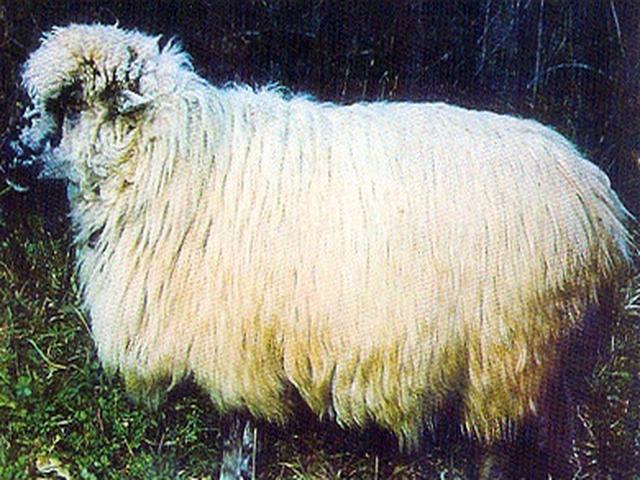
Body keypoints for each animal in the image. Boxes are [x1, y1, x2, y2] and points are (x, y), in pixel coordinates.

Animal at [12, 23, 634, 479]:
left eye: (71, 102)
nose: (9, 157)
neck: (180, 155)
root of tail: (600, 205)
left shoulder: (232, 344)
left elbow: (237, 441)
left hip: (511, 351)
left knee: (498, 447)